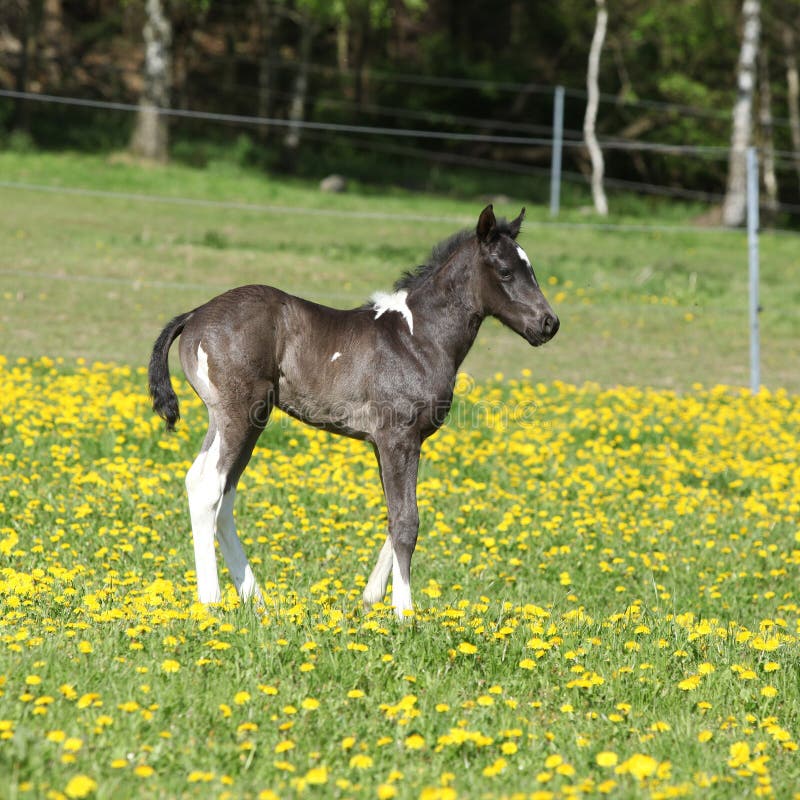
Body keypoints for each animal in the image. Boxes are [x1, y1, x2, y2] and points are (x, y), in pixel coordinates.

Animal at [148, 205, 559, 619]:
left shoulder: (385, 443)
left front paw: (371, 597)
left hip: (234, 419)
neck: (416, 338)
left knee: (217, 492)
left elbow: (394, 515)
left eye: (531, 269)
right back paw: (212, 601)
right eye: (505, 271)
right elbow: (407, 521)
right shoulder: (399, 438)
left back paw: (258, 602)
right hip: (241, 414)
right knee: (209, 488)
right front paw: (403, 612)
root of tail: (195, 314)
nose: (549, 324)